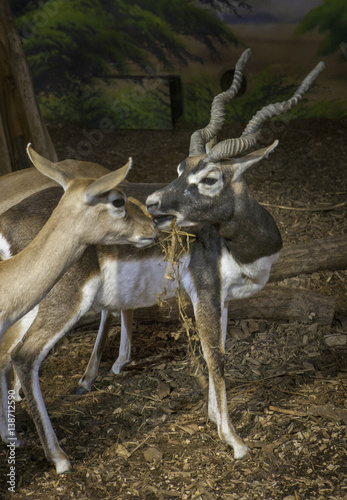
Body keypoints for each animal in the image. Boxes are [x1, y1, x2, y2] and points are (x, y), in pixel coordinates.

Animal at [0, 49, 326, 472]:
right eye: (180, 169)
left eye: (208, 177)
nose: (153, 205)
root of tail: (7, 219)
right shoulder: (205, 289)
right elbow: (216, 356)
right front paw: (234, 440)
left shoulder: (221, 298)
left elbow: (217, 348)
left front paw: (213, 416)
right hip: (60, 301)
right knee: (23, 358)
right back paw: (58, 458)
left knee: (5, 354)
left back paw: (13, 438)